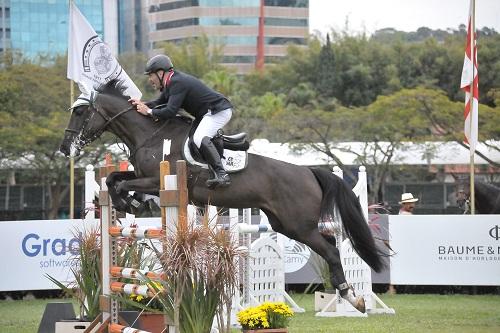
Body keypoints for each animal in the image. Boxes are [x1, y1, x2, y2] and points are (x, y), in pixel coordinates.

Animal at [60, 80, 384, 312]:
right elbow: (114, 179)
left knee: (331, 250)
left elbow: (120, 184)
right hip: (284, 225)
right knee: (331, 245)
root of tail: (308, 172)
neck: (150, 135)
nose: (66, 148)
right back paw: (350, 296)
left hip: (299, 225)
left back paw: (353, 298)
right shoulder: (143, 177)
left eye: (80, 112)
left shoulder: (156, 180)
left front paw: (127, 202)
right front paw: (124, 203)